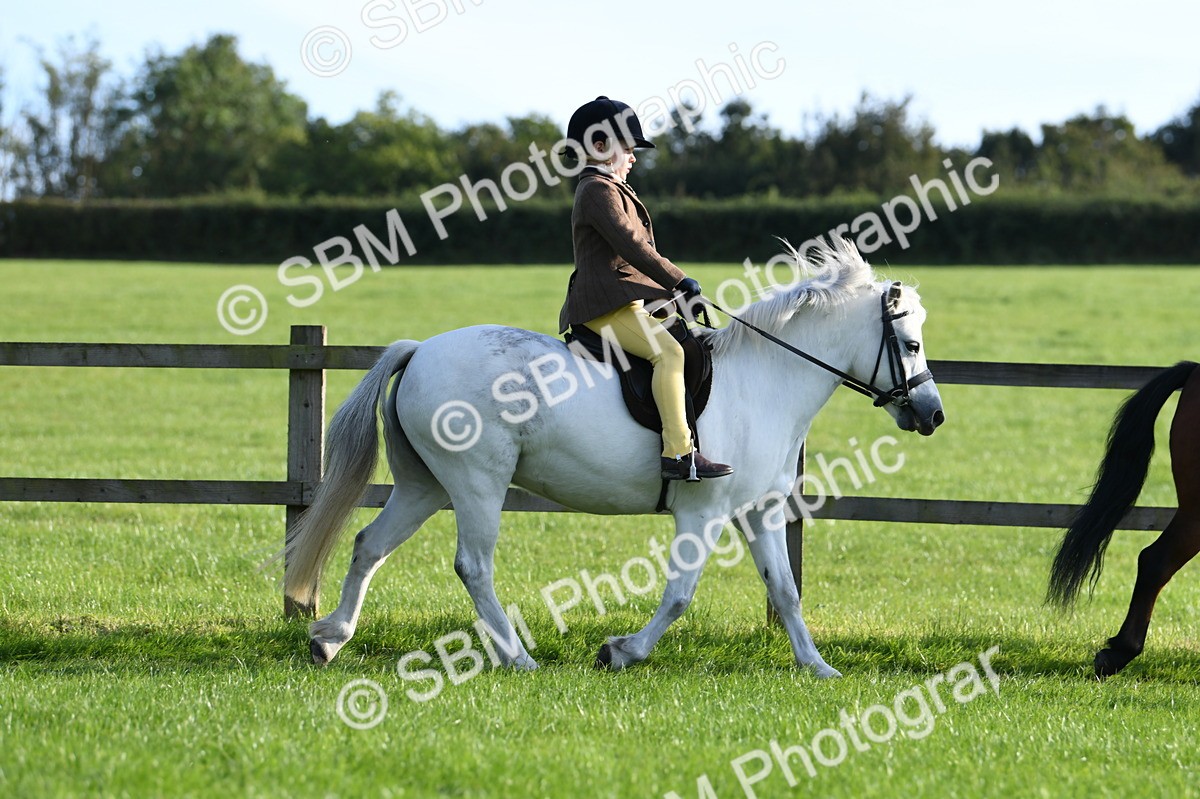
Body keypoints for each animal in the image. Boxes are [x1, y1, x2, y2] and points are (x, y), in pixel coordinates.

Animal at [278, 238, 945, 678]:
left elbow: (784, 590)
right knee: (473, 566)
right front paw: (620, 651)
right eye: (910, 344)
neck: (766, 381)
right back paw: (518, 657)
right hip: (476, 483)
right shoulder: (702, 513)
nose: (933, 415)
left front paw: (818, 667)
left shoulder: (757, 511)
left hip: (425, 485)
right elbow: (679, 595)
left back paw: (329, 639)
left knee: (369, 544)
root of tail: (419, 351)